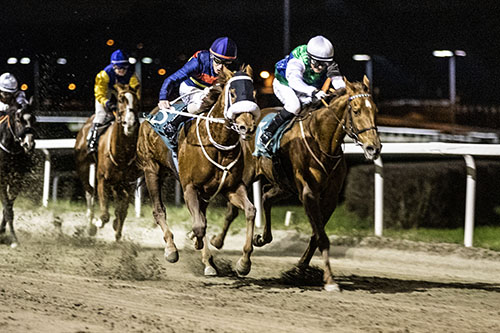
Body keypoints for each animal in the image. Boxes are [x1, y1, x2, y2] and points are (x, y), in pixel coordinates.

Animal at [0, 103, 36, 246]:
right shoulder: (2, 179)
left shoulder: (17, 180)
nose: (29, 144)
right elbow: (7, 208)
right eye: (18, 120)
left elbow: (8, 208)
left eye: (34, 120)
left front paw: (5, 234)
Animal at [74, 82, 141, 239]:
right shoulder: (102, 179)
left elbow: (122, 211)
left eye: (137, 101)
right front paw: (97, 222)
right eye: (121, 99)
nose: (130, 123)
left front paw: (117, 229)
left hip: (117, 183)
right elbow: (104, 214)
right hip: (82, 166)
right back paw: (91, 224)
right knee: (89, 191)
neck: (121, 154)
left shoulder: (128, 183)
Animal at [138, 65, 262, 274]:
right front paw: (200, 248)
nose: (247, 127)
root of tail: (149, 116)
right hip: (151, 169)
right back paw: (171, 249)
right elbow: (199, 225)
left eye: (253, 93)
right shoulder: (190, 187)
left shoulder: (232, 188)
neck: (220, 145)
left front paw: (244, 263)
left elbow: (250, 211)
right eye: (233, 93)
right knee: (159, 210)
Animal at [213, 76, 380, 290]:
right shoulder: (308, 193)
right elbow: (322, 237)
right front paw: (330, 280)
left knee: (266, 196)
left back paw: (262, 238)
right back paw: (220, 243)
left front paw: (300, 268)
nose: (374, 148)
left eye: (375, 110)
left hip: (285, 185)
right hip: (247, 174)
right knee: (233, 210)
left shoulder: (330, 197)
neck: (322, 142)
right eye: (356, 110)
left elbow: (316, 236)